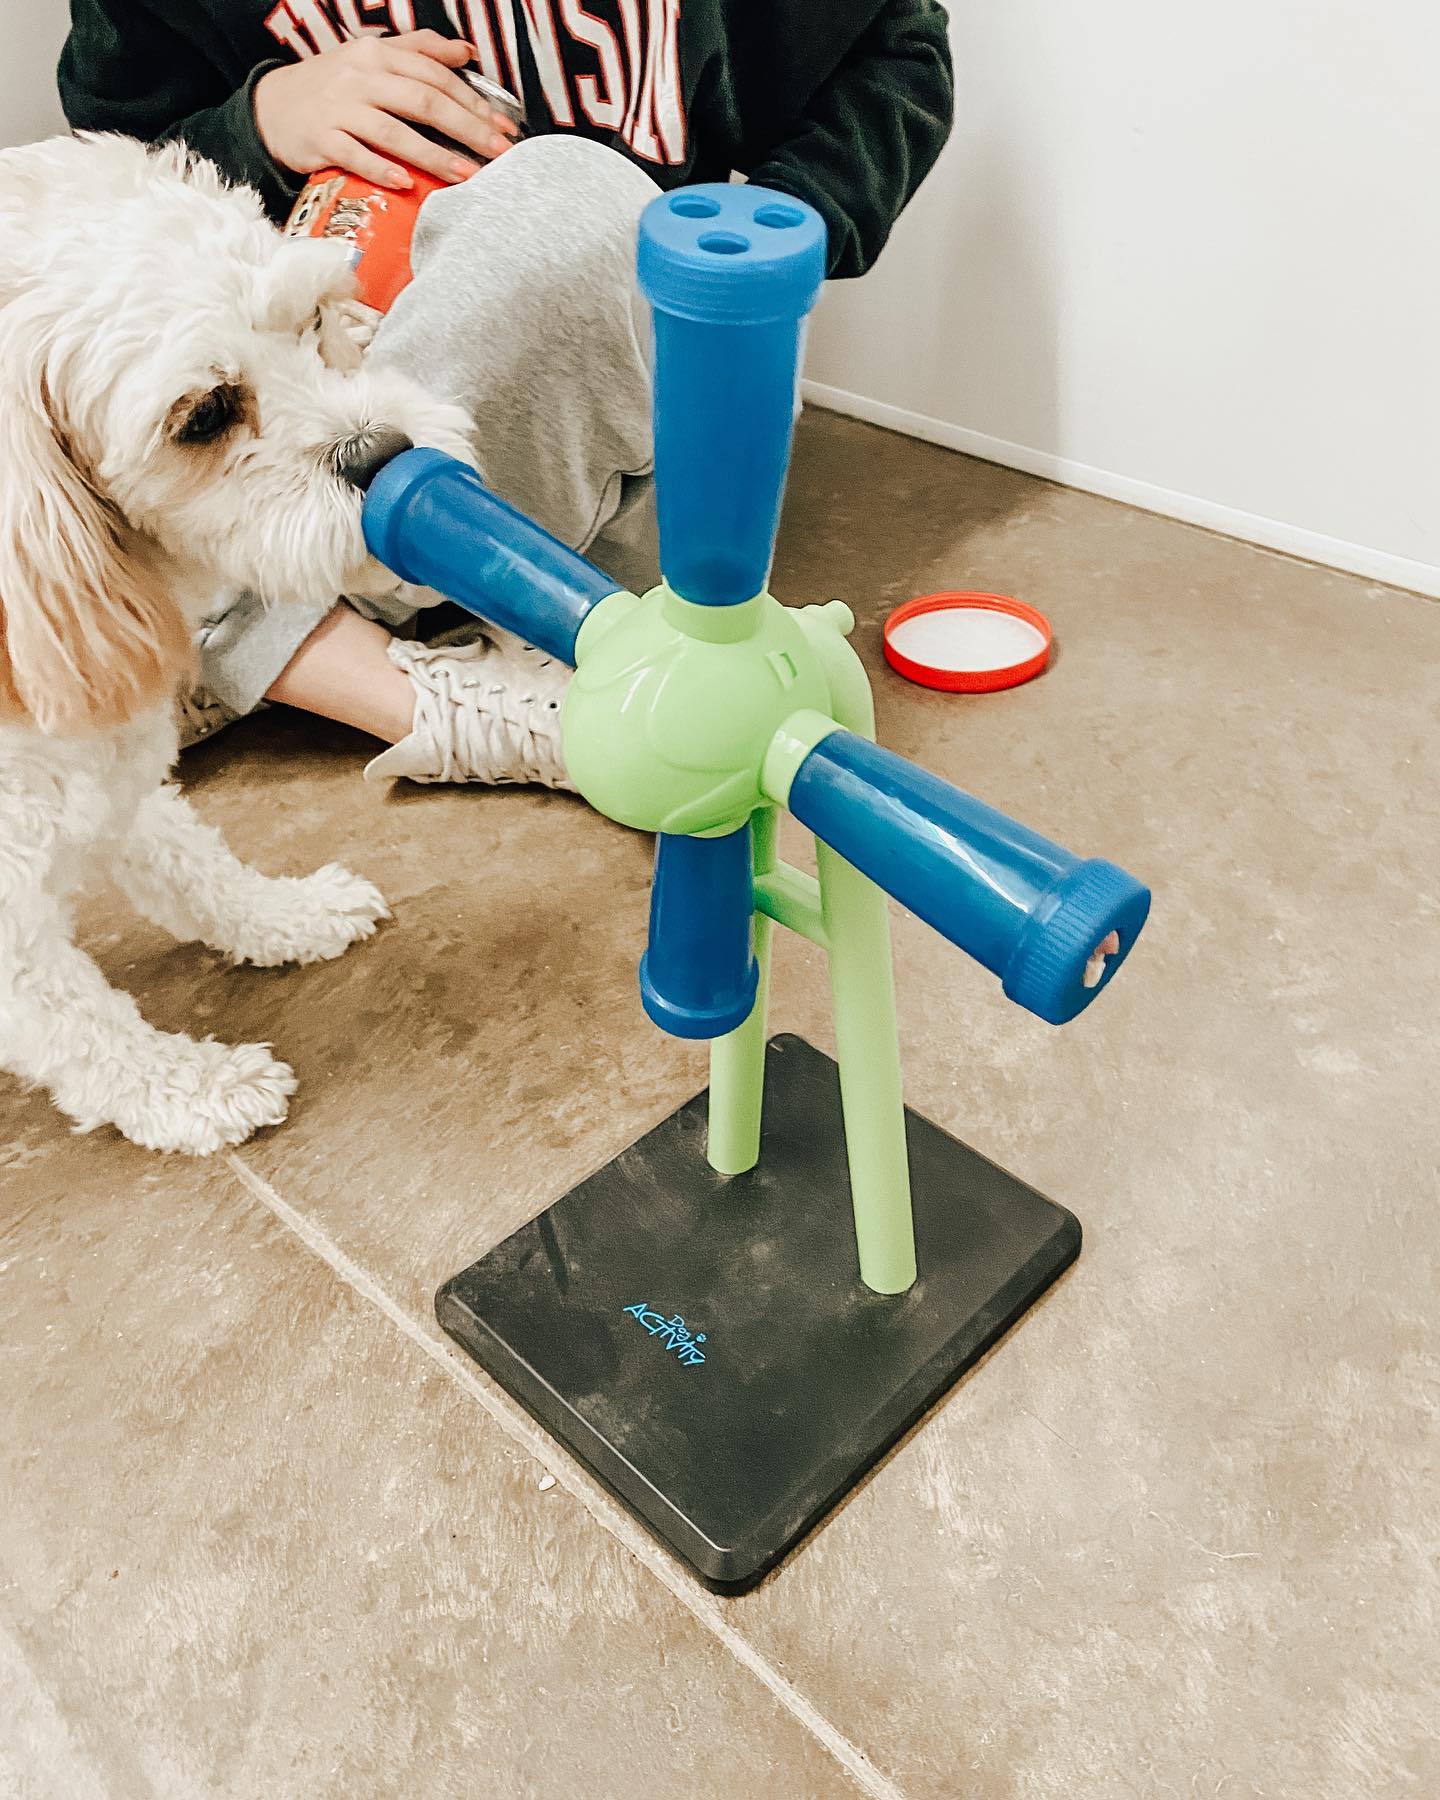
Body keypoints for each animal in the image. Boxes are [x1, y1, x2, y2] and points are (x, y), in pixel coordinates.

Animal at [0, 134, 473, 1153]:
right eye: (205, 414)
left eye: (313, 320)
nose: (389, 454)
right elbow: (78, 1024)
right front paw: (194, 1090)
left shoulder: (108, 781)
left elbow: (195, 866)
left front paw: (289, 914)